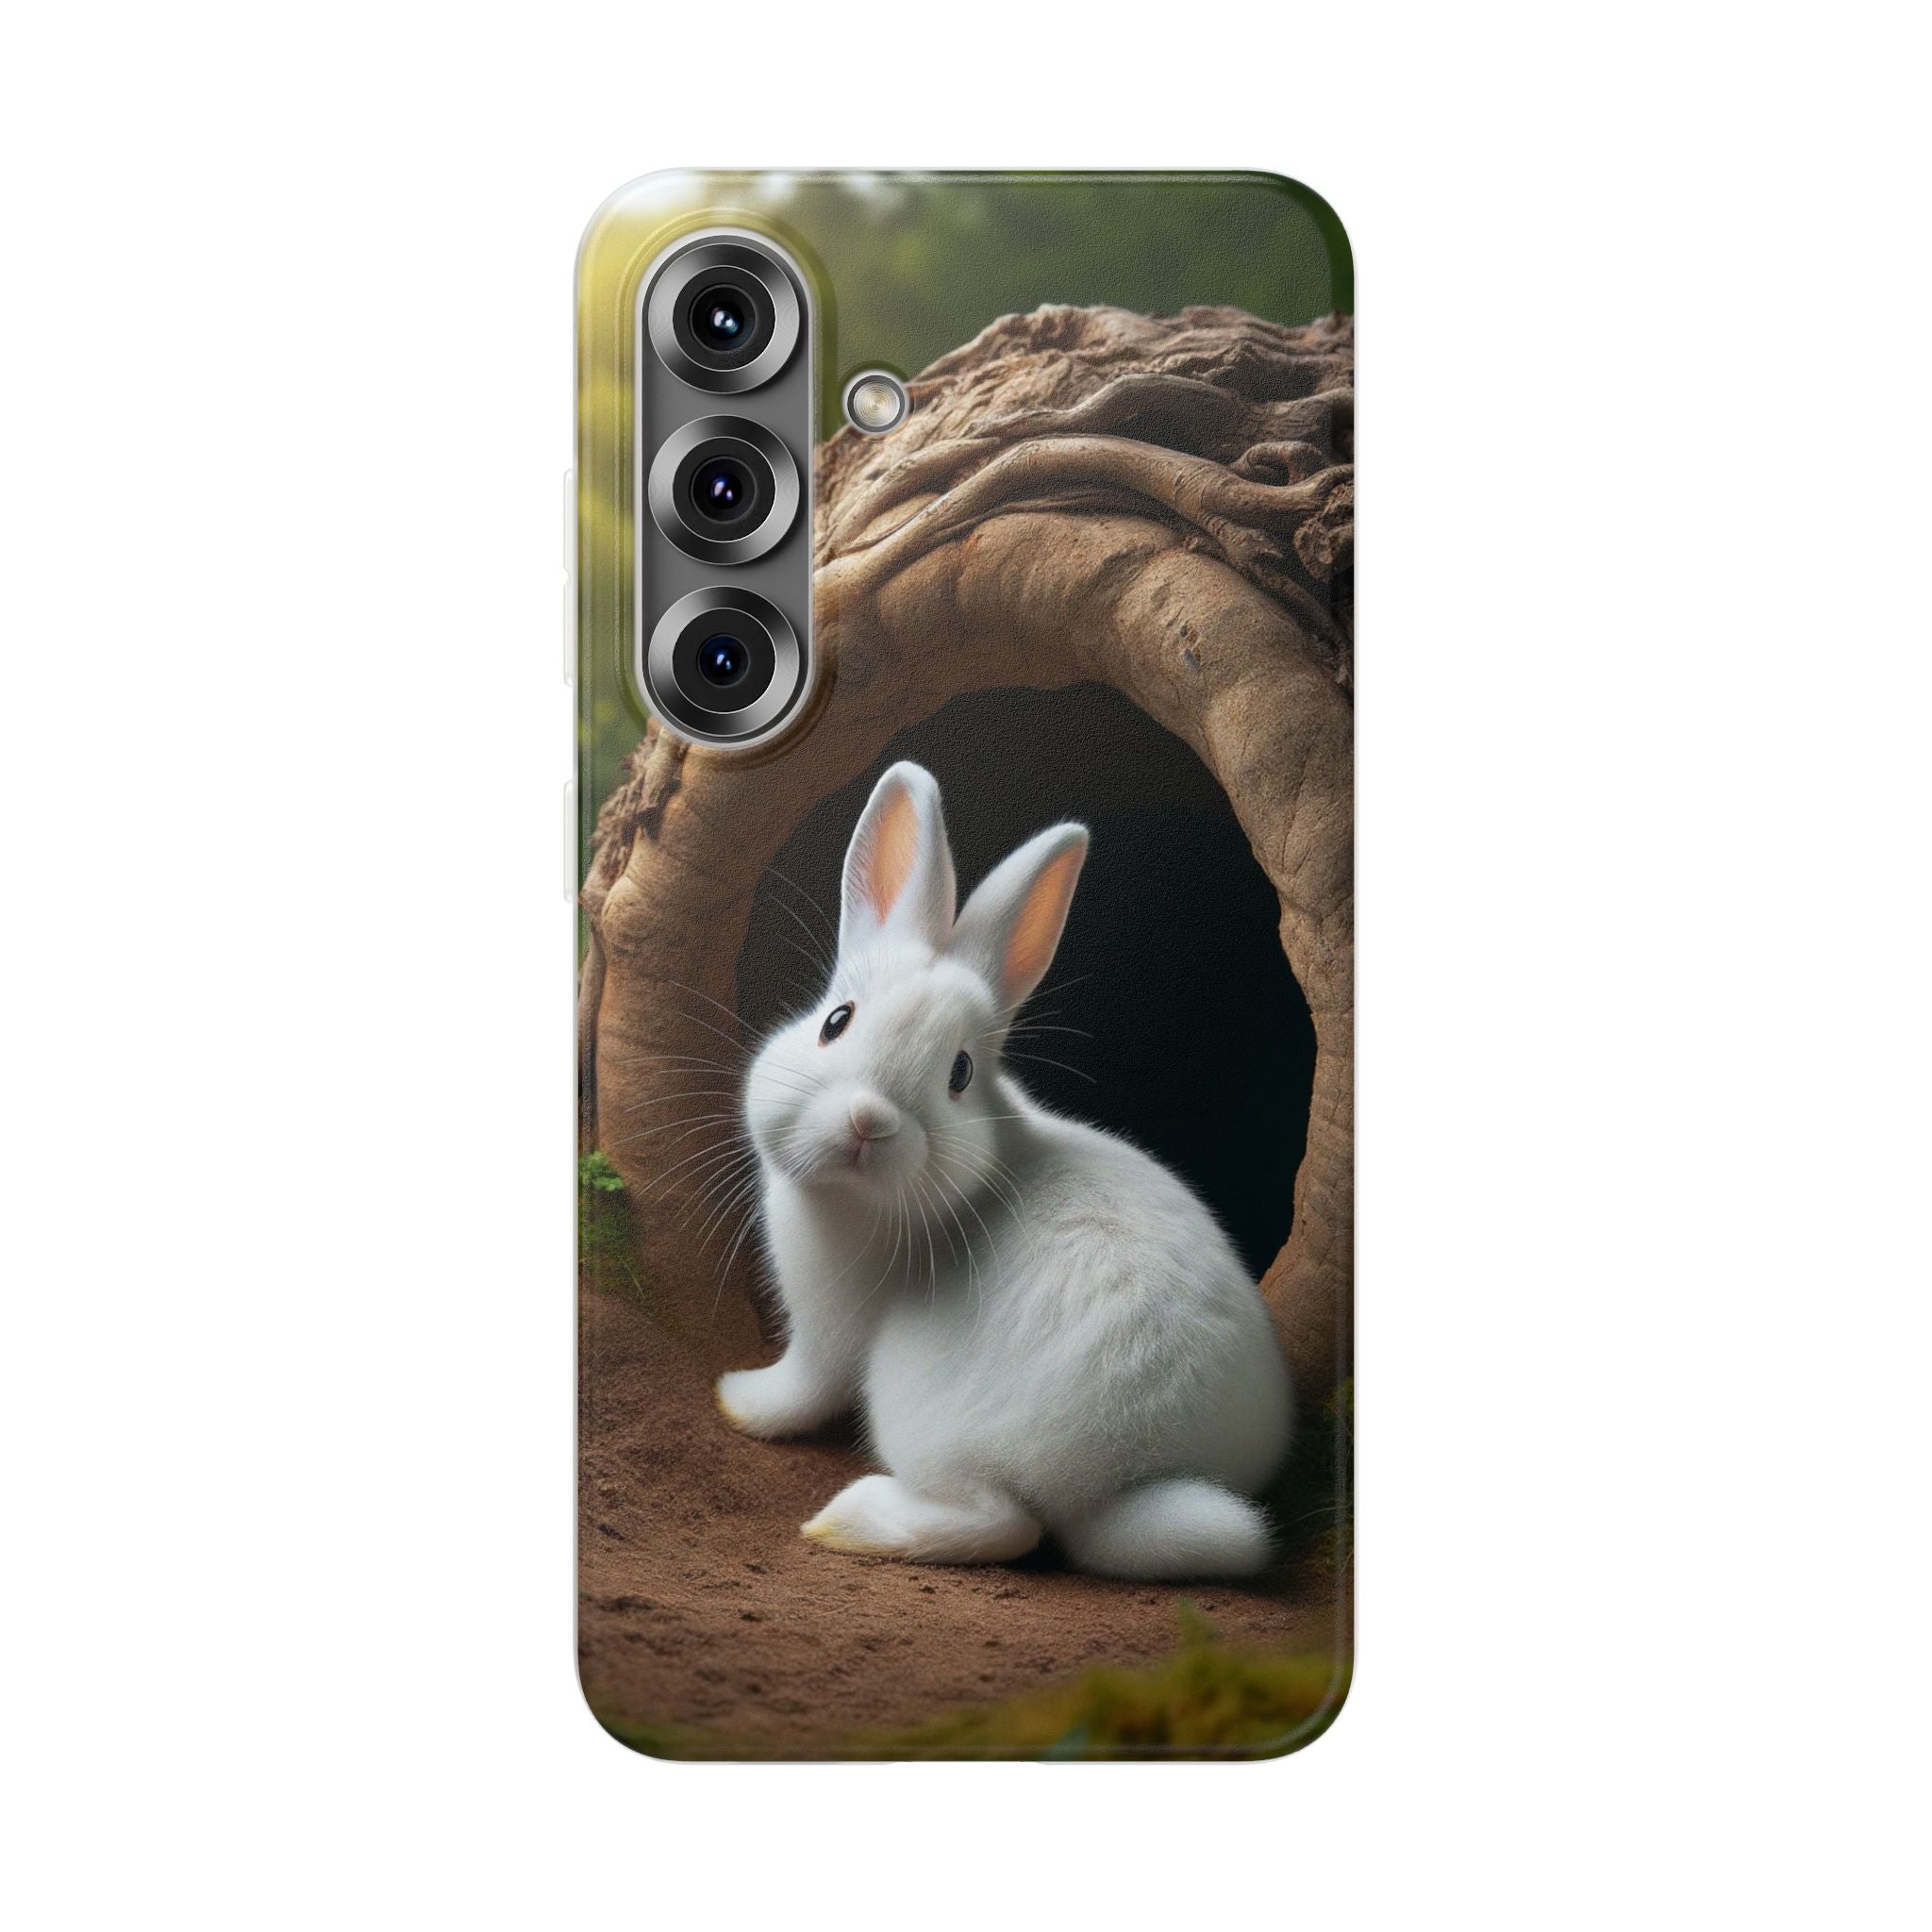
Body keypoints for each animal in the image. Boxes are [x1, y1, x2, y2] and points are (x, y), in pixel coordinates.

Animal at [716, 760, 1293, 1579]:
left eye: (959, 1073)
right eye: (837, 1022)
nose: (868, 1121)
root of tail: (1119, 1482)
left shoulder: (827, 1331)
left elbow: (801, 1389)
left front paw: (737, 1398)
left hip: (920, 1409)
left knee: (1001, 1524)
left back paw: (844, 1521)